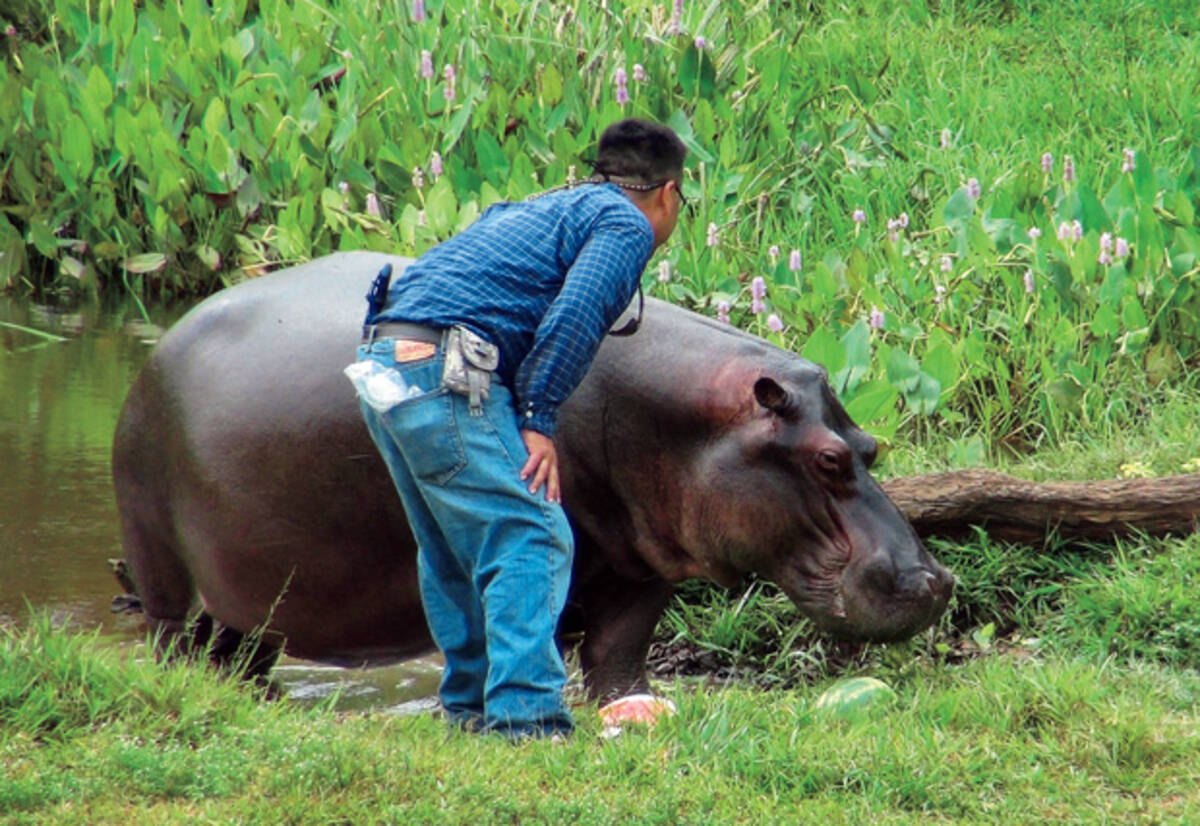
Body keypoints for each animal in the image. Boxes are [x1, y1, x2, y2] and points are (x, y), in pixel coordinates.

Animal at [114, 249, 955, 696]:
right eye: (828, 459)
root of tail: (159, 351)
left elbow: (618, 659)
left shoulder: (640, 567)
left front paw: (631, 707)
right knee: (173, 638)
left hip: (250, 595)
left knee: (237, 651)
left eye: (872, 446)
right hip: (162, 567)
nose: (934, 580)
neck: (689, 421)